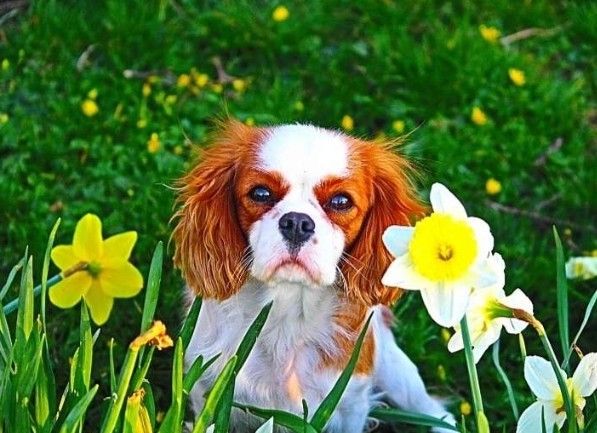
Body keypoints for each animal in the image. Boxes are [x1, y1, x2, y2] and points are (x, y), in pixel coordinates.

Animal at [175, 120, 454, 432]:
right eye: (260, 193)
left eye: (341, 201)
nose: (297, 222)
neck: (285, 313)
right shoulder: (206, 386)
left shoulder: (350, 404)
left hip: (397, 375)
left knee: (432, 409)